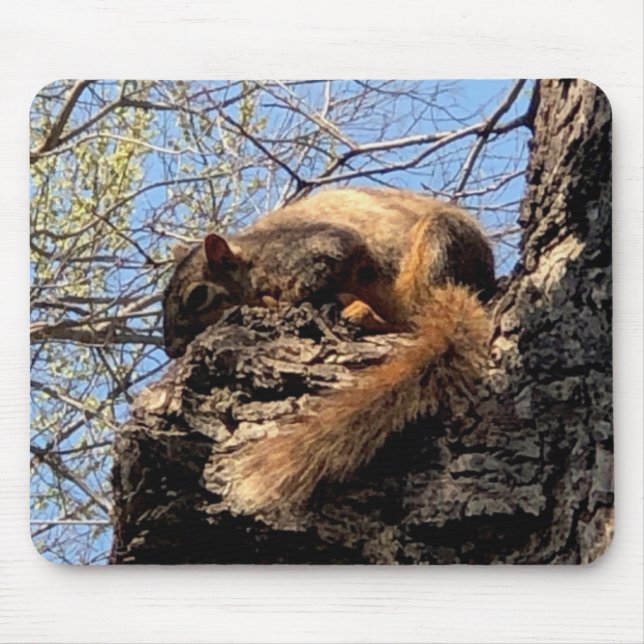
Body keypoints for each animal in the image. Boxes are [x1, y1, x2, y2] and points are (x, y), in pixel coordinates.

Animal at [162, 187, 495, 519]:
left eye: (197, 296)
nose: (171, 349)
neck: (252, 259)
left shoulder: (308, 251)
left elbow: (315, 275)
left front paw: (273, 304)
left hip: (438, 244)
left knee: (412, 315)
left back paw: (366, 315)